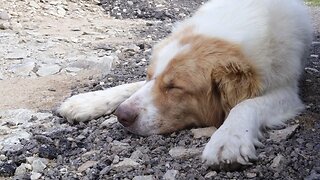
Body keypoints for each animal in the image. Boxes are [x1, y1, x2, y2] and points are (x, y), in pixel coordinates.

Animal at [58, 0, 312, 167]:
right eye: (150, 76)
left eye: (174, 87)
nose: (122, 116)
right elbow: (131, 87)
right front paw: (87, 101)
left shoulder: (287, 90)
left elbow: (245, 105)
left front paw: (229, 138)